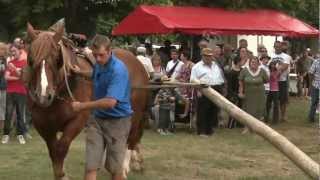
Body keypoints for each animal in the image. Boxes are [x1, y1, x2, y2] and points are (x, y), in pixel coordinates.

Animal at [26, 23, 149, 179]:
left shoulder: (77, 120)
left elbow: (61, 148)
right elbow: (54, 152)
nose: (43, 96)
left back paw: (125, 167)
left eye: (57, 59)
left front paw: (63, 174)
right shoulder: (43, 126)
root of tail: (136, 61)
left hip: (135, 114)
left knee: (130, 139)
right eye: (31, 59)